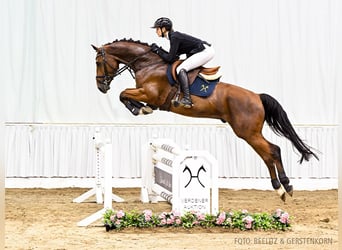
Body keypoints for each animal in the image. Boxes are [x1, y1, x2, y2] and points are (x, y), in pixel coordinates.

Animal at [91, 38, 318, 201]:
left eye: (98, 62)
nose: (101, 87)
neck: (148, 64)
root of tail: (256, 96)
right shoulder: (149, 97)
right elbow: (125, 95)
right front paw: (141, 108)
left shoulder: (151, 94)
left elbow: (123, 94)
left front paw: (138, 109)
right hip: (250, 133)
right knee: (270, 152)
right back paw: (282, 188)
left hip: (247, 132)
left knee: (271, 151)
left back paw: (284, 186)